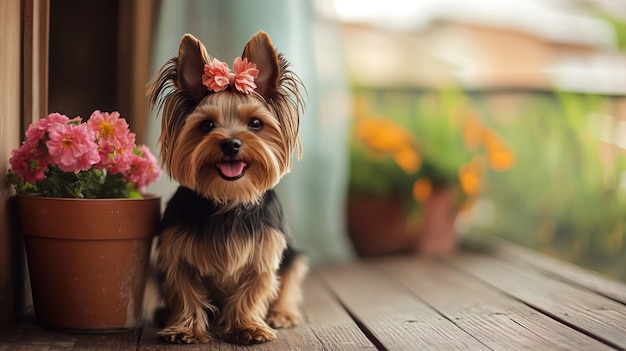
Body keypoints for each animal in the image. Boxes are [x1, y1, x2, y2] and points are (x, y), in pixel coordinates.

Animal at [149, 31, 310, 346]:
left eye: (256, 123)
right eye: (206, 125)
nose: (231, 144)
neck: (229, 198)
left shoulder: (263, 253)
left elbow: (252, 292)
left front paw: (248, 327)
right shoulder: (176, 251)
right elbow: (184, 290)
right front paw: (184, 329)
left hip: (295, 257)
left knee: (289, 281)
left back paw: (282, 314)